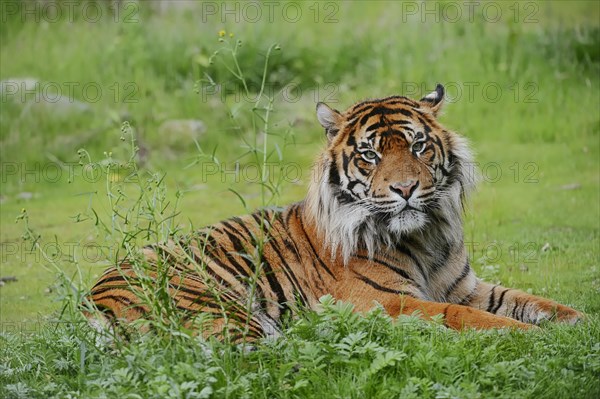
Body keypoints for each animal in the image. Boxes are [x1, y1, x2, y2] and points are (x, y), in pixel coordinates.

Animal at [86, 85, 584, 344]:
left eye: (419, 146)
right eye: (369, 155)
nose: (406, 190)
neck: (424, 236)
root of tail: (91, 301)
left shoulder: (466, 287)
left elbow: (531, 301)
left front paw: (577, 321)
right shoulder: (387, 302)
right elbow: (464, 316)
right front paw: (529, 335)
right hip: (222, 307)